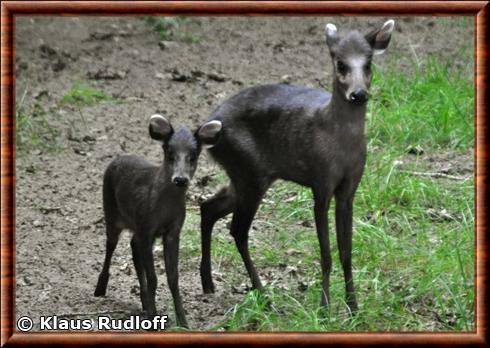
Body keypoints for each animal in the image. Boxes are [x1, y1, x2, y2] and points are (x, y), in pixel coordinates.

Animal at [199, 19, 394, 312]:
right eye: (340, 63)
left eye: (369, 63)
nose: (359, 94)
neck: (342, 147)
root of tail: (208, 128)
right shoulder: (321, 182)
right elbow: (326, 254)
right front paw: (324, 309)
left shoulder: (349, 188)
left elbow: (346, 252)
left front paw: (353, 308)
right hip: (249, 172)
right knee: (237, 230)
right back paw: (263, 295)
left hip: (245, 175)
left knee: (208, 207)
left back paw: (209, 283)